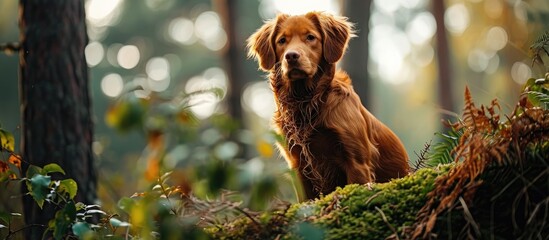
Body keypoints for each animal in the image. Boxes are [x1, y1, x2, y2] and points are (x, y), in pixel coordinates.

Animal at [246, 11, 408, 200]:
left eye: (310, 37)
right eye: (282, 40)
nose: (291, 56)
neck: (306, 102)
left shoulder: (357, 162)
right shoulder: (298, 165)